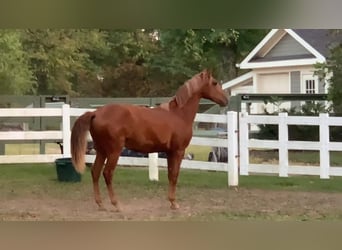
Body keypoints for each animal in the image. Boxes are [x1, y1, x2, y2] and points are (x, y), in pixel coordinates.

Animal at [71, 69, 228, 210]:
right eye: (214, 83)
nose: (226, 100)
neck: (178, 115)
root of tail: (96, 113)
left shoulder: (170, 152)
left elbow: (170, 175)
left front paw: (171, 202)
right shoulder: (178, 151)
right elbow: (175, 175)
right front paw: (174, 203)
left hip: (101, 151)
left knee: (95, 172)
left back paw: (101, 204)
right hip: (114, 151)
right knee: (107, 173)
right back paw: (116, 204)